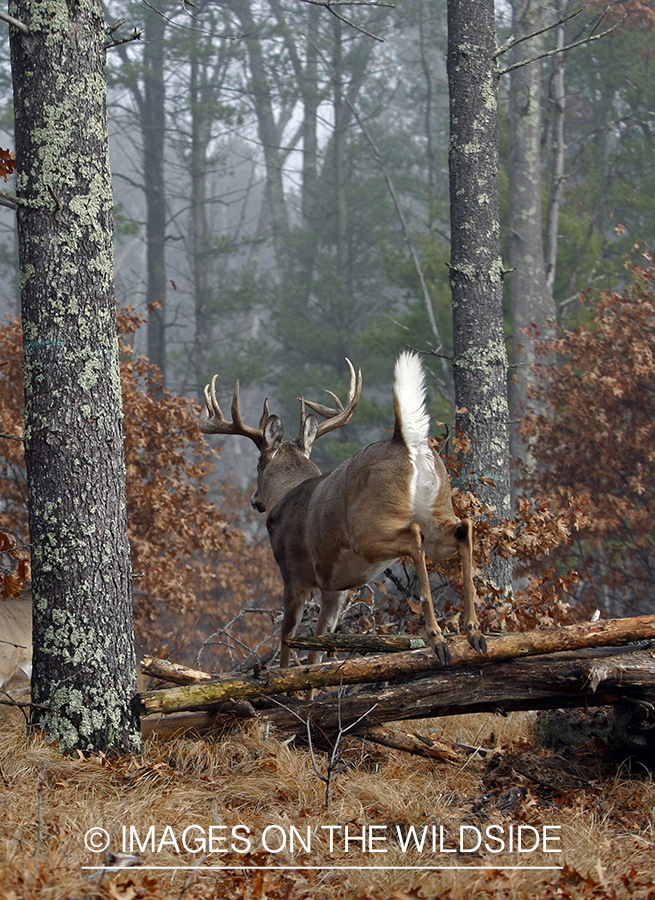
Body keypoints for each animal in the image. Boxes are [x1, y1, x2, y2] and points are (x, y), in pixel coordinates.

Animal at [200, 352, 486, 668]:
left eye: (258, 466)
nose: (254, 500)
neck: (286, 496)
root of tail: (404, 442)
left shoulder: (293, 573)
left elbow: (287, 639)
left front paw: (283, 673)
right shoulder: (335, 588)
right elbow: (318, 646)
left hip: (369, 529)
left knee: (414, 536)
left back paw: (438, 640)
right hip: (438, 509)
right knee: (463, 527)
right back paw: (475, 634)